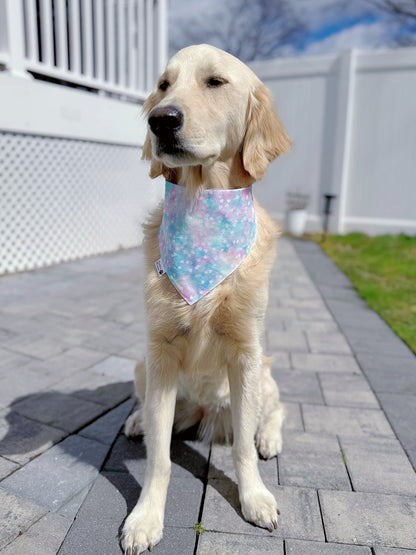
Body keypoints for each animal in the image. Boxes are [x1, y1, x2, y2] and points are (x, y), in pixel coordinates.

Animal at [121, 44, 290, 555]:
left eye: (215, 82)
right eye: (163, 85)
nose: (161, 119)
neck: (202, 206)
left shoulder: (245, 352)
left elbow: (241, 448)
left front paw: (254, 498)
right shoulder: (160, 353)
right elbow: (158, 457)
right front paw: (145, 518)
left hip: (264, 375)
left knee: (277, 410)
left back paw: (269, 439)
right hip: (144, 368)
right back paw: (136, 421)